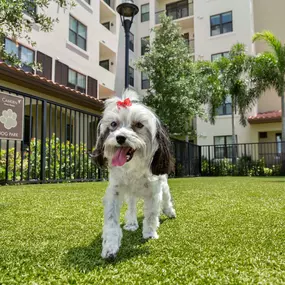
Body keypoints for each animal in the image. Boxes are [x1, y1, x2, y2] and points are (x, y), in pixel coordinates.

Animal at [92, 90, 174, 258]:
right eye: (113, 124)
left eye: (139, 125)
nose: (120, 137)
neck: (133, 167)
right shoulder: (115, 191)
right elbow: (111, 220)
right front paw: (110, 246)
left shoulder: (154, 190)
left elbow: (151, 214)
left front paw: (149, 233)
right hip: (130, 193)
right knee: (131, 206)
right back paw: (131, 223)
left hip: (163, 184)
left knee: (167, 197)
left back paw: (169, 211)